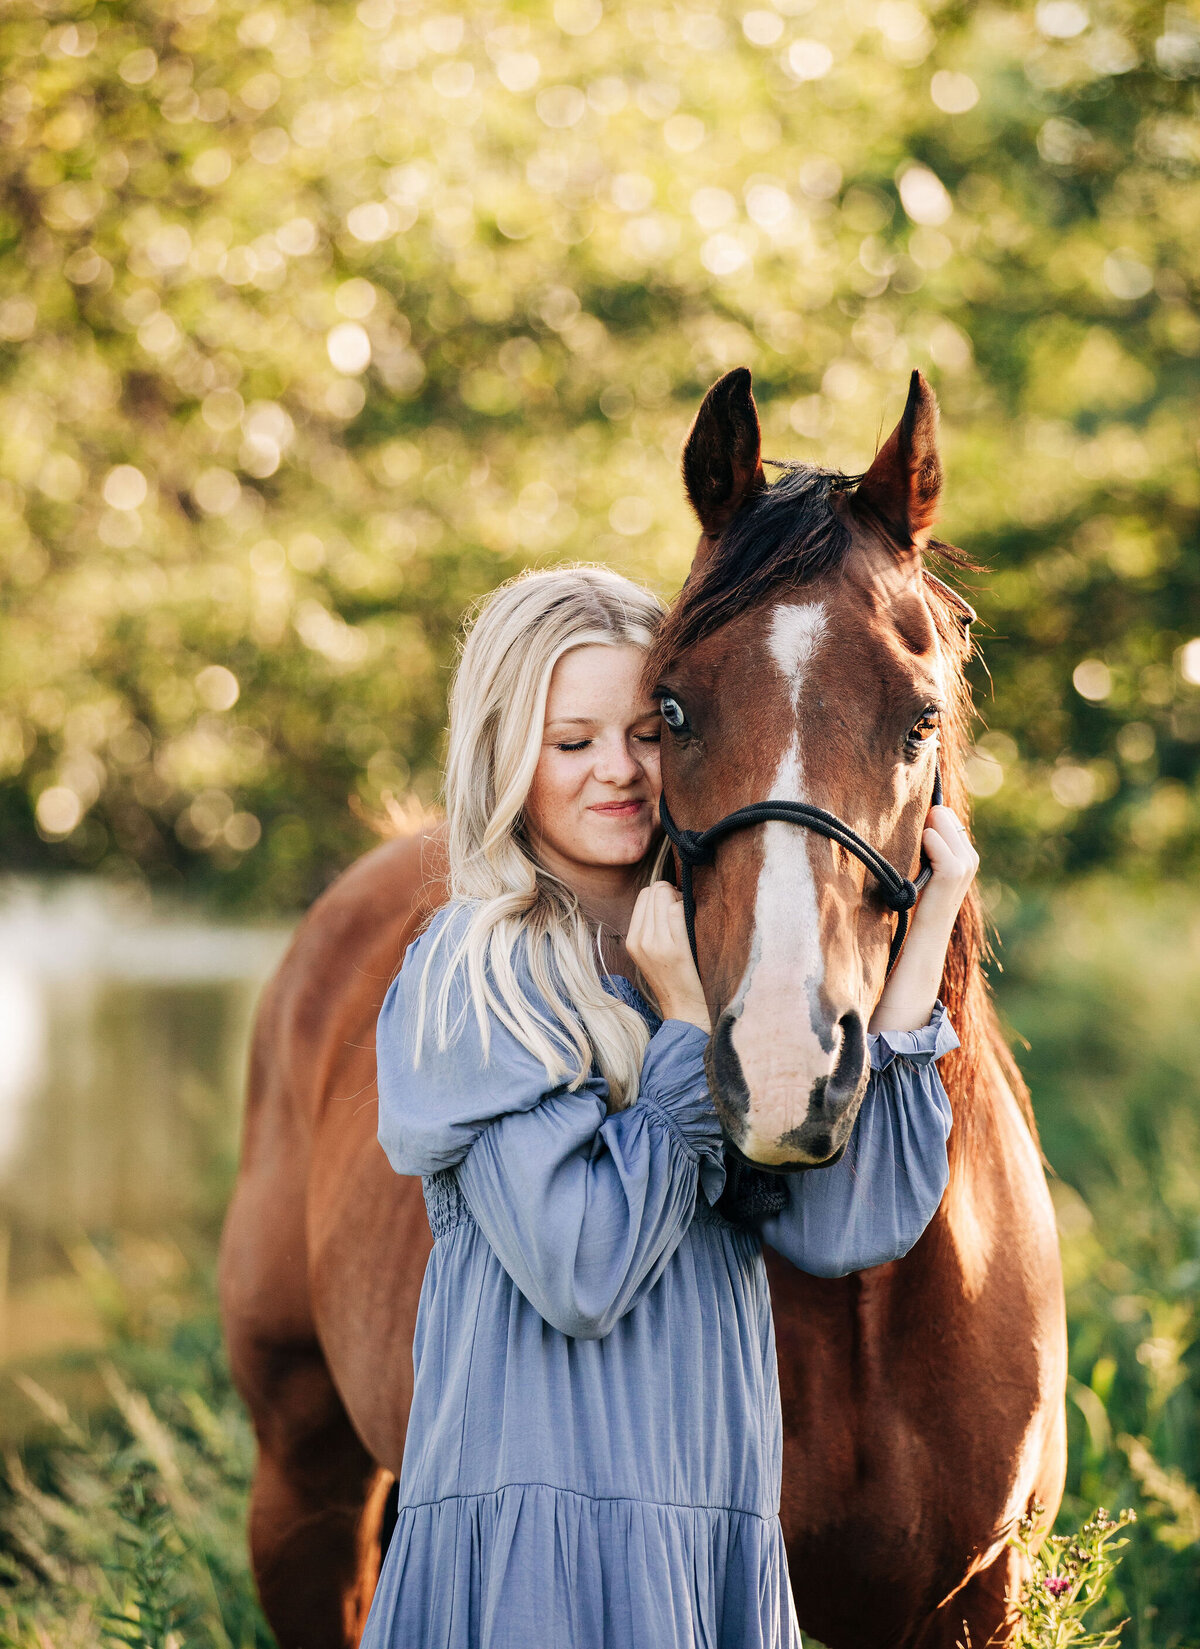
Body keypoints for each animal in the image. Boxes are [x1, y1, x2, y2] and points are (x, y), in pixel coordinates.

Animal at [220, 371, 1061, 1649]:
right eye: (671, 705)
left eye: (920, 716)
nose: (785, 1069)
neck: (869, 1305)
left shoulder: (975, 1597)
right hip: (301, 1494)